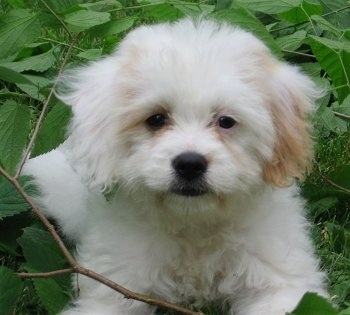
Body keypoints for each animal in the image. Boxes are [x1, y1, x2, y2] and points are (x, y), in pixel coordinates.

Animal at [23, 18, 326, 314]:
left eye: (226, 121)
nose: (190, 164)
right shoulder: (113, 283)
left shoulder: (280, 280)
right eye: (156, 119)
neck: (193, 226)